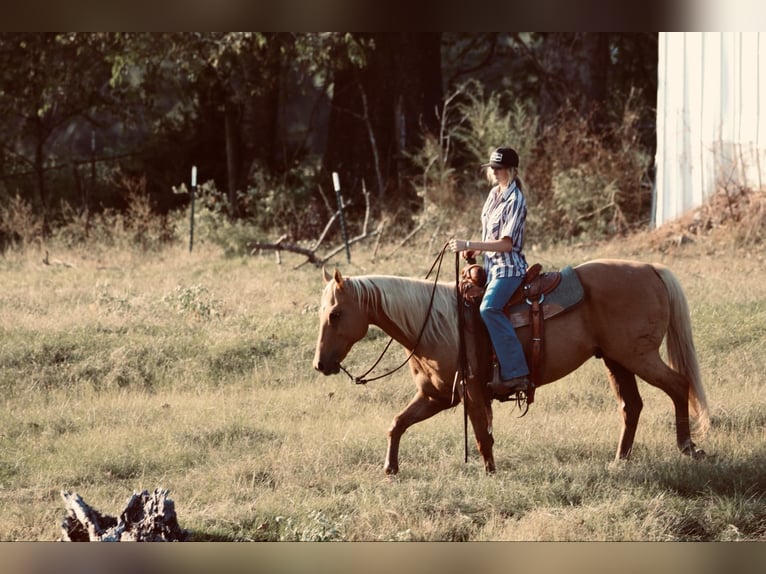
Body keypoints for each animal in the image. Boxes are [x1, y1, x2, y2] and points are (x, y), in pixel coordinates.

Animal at [316, 262, 712, 476]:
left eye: (335, 314)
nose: (320, 364)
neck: (435, 324)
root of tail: (651, 269)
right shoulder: (436, 396)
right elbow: (397, 424)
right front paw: (390, 468)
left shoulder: (471, 390)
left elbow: (481, 435)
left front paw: (490, 473)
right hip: (617, 360)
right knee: (632, 406)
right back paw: (620, 461)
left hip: (638, 355)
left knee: (679, 385)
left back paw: (687, 447)